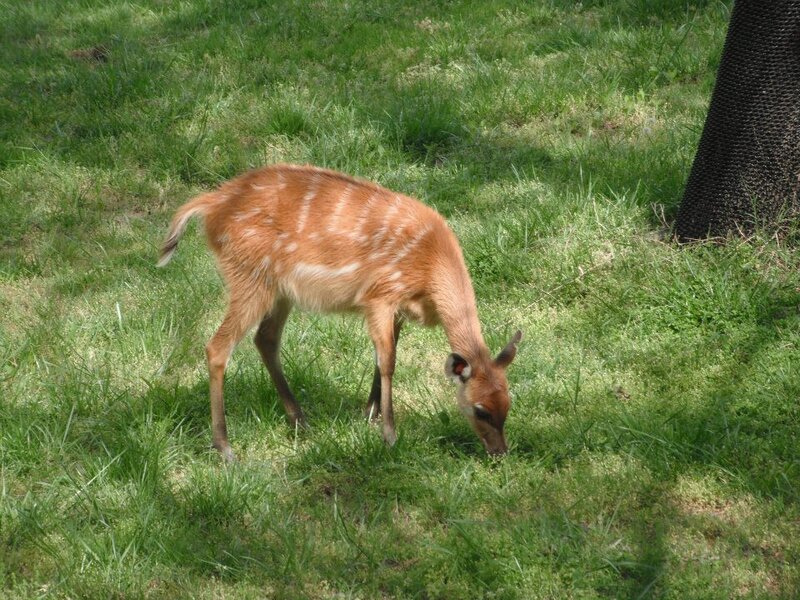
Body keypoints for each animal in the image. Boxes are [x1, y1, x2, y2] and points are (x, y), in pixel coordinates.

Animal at [158, 164, 521, 459]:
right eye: (479, 410)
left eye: (508, 403)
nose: (500, 452)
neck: (430, 268)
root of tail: (209, 204)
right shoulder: (380, 295)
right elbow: (388, 360)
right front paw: (389, 435)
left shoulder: (398, 307)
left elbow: (384, 355)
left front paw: (369, 414)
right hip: (250, 276)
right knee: (218, 347)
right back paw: (225, 447)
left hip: (279, 290)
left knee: (266, 339)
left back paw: (300, 421)